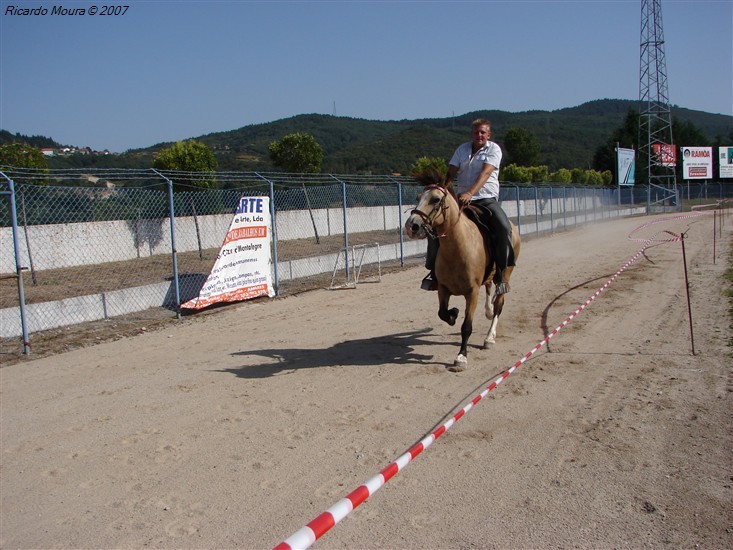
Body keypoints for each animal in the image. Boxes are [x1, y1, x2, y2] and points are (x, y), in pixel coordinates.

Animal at [404, 183, 516, 374]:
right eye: (418, 197)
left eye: (435, 199)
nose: (412, 225)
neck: (458, 247)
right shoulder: (442, 289)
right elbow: (442, 313)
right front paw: (453, 314)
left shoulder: (472, 292)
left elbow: (466, 327)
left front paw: (461, 357)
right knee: (490, 295)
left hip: (505, 276)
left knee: (499, 305)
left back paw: (489, 338)